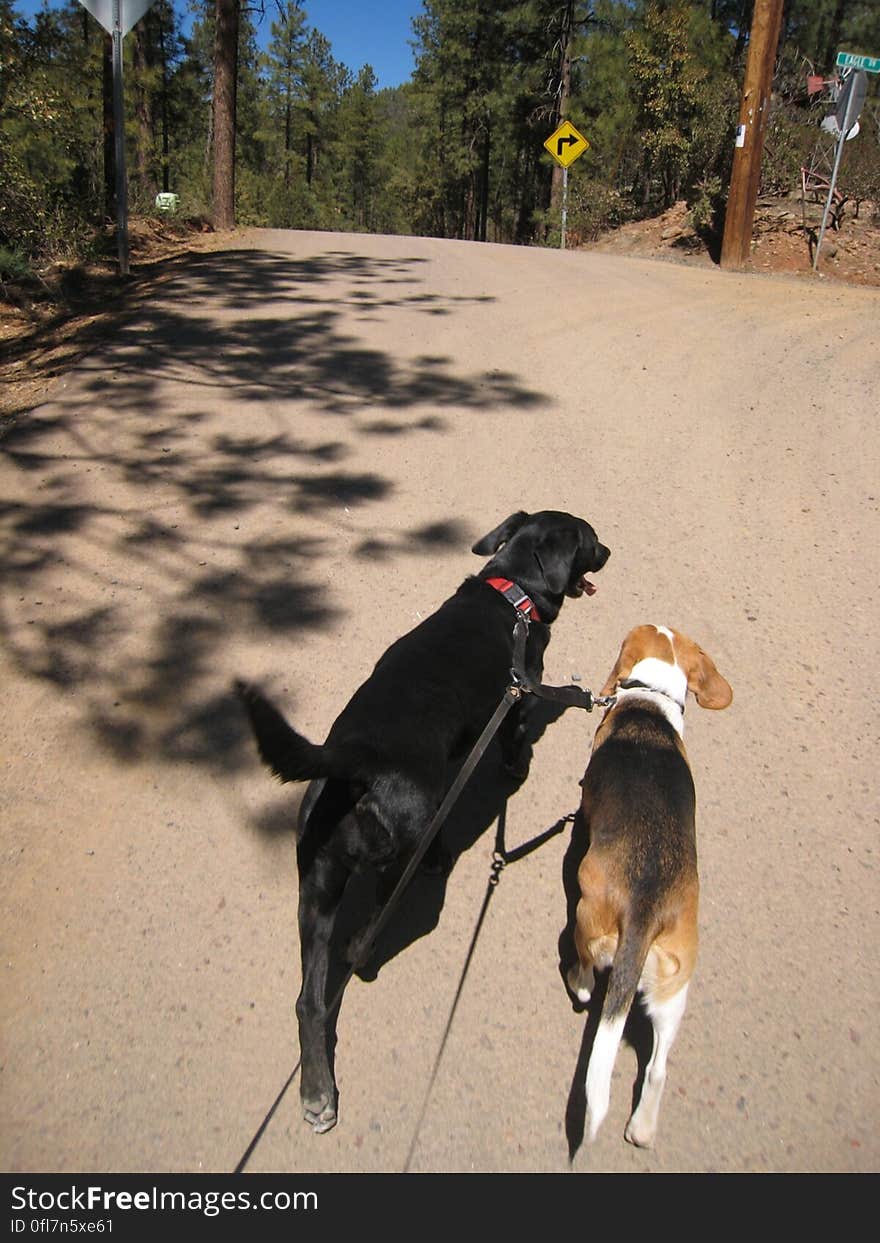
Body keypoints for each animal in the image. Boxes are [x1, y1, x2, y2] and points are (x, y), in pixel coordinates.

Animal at [237, 509, 609, 1133]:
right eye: (589, 538)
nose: (609, 551)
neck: (512, 593)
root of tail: (352, 764)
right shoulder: (521, 697)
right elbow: (517, 739)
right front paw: (518, 766)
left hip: (316, 888)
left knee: (310, 1000)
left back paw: (317, 1091)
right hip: (398, 849)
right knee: (368, 929)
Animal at [566, 626, 730, 1148]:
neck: (651, 699)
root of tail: (645, 908)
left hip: (586, 916)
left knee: (585, 970)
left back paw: (578, 983)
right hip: (675, 987)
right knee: (658, 1067)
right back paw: (642, 1128)